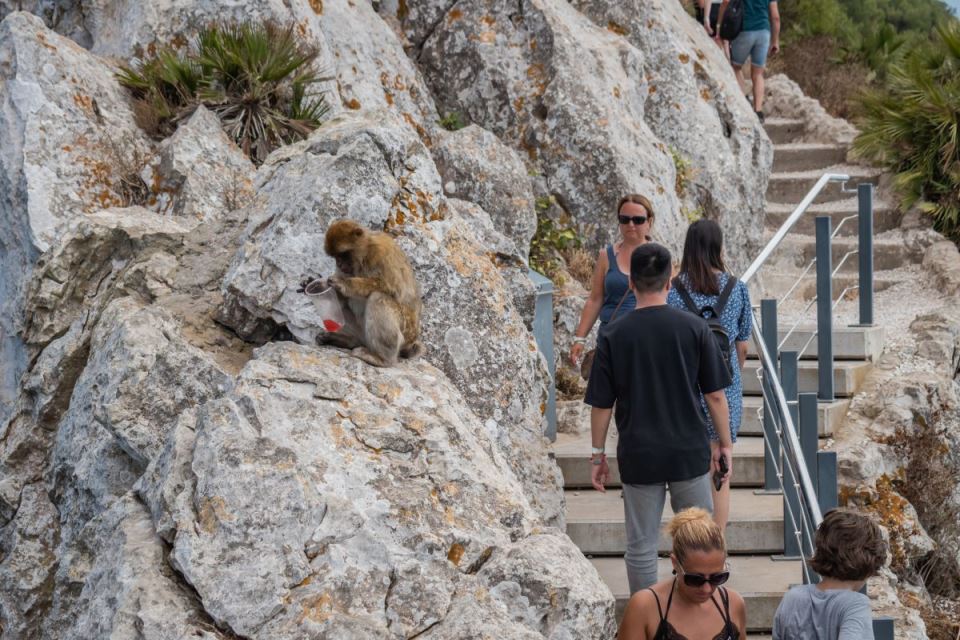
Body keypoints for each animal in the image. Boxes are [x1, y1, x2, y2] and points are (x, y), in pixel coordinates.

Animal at [315, 219, 424, 367]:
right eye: (336, 257)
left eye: (342, 254)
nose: (339, 263)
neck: (365, 253)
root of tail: (412, 341)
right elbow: (339, 298)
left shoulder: (381, 253)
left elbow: (389, 287)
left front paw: (344, 284)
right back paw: (347, 341)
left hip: (405, 329)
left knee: (378, 298)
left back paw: (381, 358)